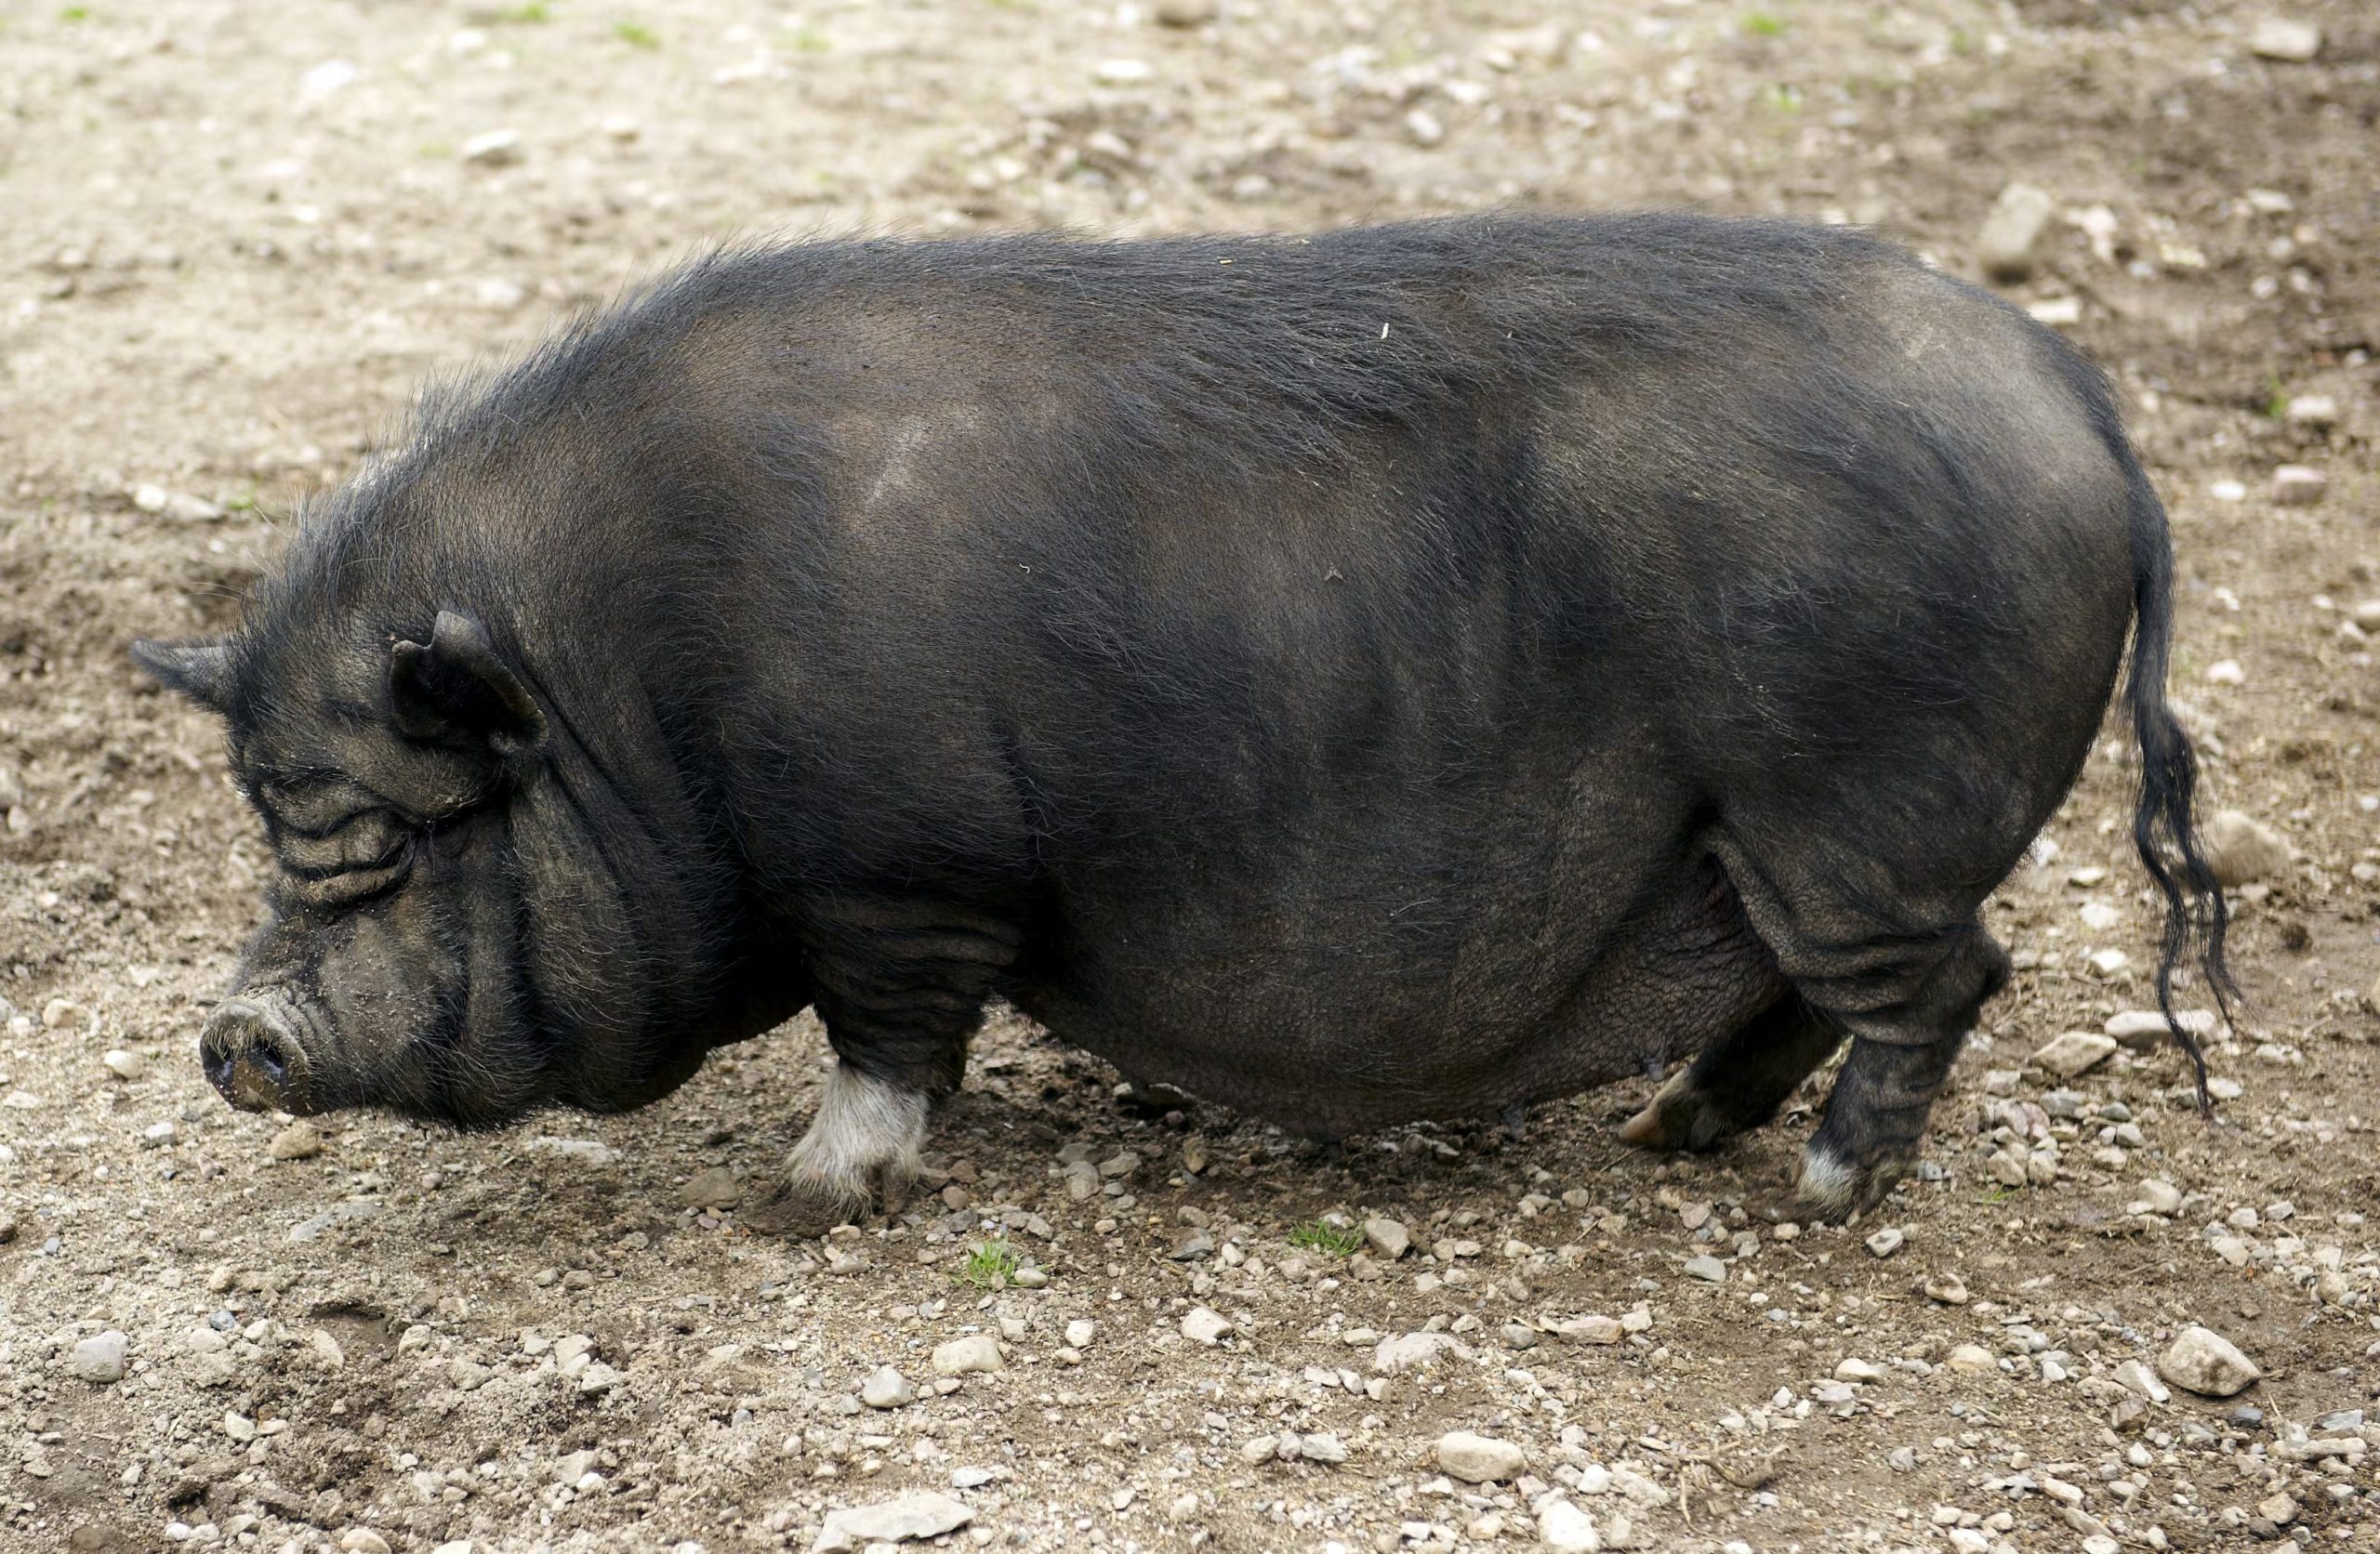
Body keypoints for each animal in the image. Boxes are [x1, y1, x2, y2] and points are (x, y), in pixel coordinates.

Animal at [134, 213, 2232, 1230]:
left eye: (391, 844)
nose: (232, 1037)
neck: (628, 692)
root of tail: (2089, 418)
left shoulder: (897, 866)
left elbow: (886, 1034)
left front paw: (801, 1201)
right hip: (1762, 829)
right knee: (1817, 987)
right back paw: (1663, 1129)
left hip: (1851, 801)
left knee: (1950, 974)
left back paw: (1812, 1194)